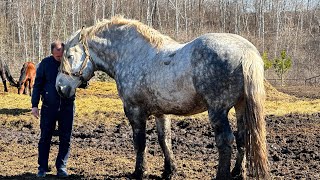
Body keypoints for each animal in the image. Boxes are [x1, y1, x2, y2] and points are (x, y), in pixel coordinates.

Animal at [55, 17, 270, 180]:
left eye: (70, 55)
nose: (60, 87)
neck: (132, 54)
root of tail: (246, 52)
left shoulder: (134, 110)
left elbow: (140, 142)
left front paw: (139, 172)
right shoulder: (161, 113)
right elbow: (164, 139)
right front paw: (169, 171)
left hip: (218, 110)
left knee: (225, 140)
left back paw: (222, 175)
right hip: (240, 106)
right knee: (243, 137)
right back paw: (238, 173)